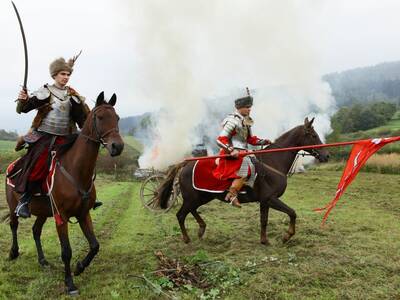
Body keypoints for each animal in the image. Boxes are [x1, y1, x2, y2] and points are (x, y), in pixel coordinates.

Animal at [4, 92, 123, 296]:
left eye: (117, 118)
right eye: (100, 117)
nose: (118, 146)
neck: (76, 170)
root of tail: (12, 166)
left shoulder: (83, 214)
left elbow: (95, 245)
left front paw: (79, 267)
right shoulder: (61, 216)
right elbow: (66, 251)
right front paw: (70, 284)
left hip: (43, 212)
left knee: (36, 231)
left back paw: (43, 261)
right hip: (13, 206)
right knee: (14, 225)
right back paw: (13, 252)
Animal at [158, 116, 330, 244]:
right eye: (313, 135)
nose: (326, 155)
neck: (272, 162)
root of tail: (185, 164)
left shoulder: (265, 201)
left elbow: (264, 220)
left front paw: (264, 240)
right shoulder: (271, 198)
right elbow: (292, 213)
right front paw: (286, 236)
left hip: (202, 196)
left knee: (191, 211)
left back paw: (201, 228)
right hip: (193, 197)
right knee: (181, 215)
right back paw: (187, 238)